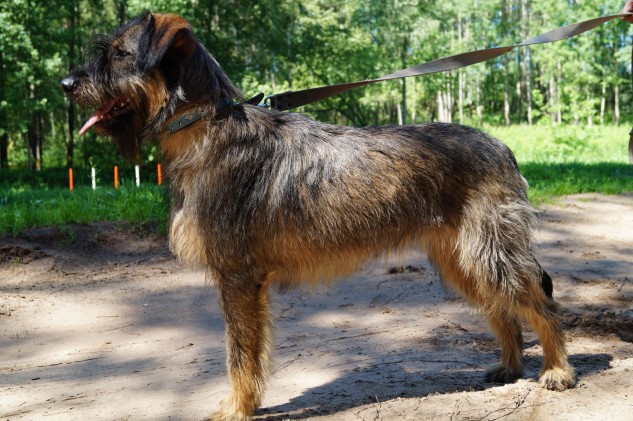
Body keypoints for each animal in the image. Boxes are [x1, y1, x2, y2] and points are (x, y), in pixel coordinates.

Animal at [61, 12, 575, 420]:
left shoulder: (237, 278)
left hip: (489, 253)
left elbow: (239, 354)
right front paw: (246, 404)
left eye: (120, 55)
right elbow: (251, 352)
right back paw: (510, 366)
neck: (208, 126)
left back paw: (557, 371)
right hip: (463, 260)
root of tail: (502, 147)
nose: (67, 84)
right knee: (504, 310)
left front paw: (237, 409)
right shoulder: (246, 282)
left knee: (543, 305)